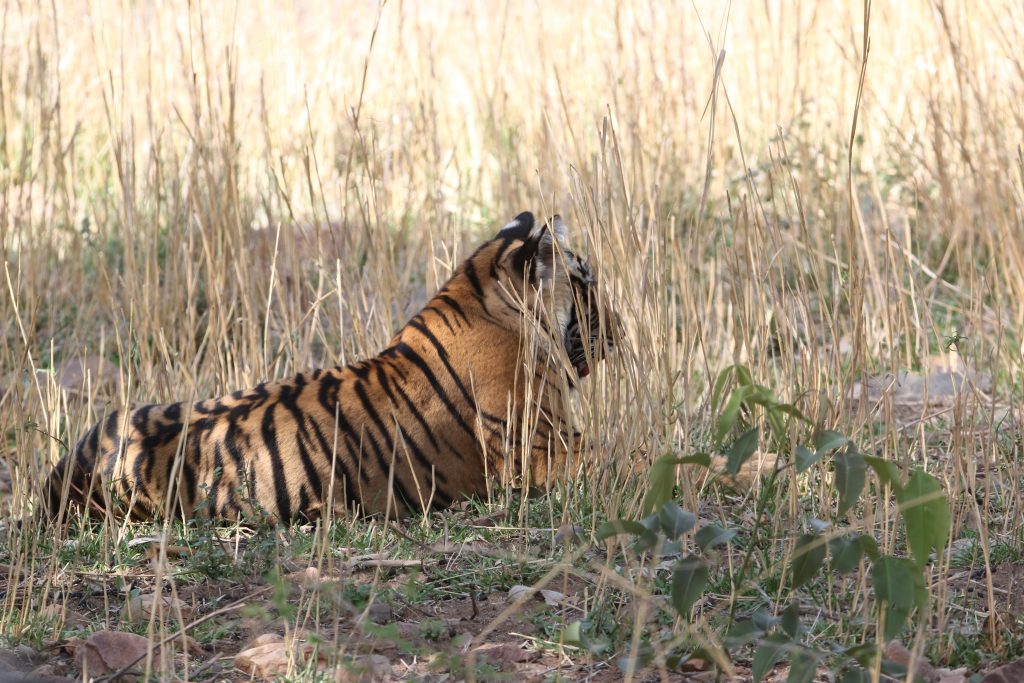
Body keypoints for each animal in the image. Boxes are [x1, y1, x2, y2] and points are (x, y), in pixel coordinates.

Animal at [41, 214, 614, 524]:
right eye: (587, 283)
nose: (619, 329)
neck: (479, 288)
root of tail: (67, 475)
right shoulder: (543, 451)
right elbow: (620, 457)